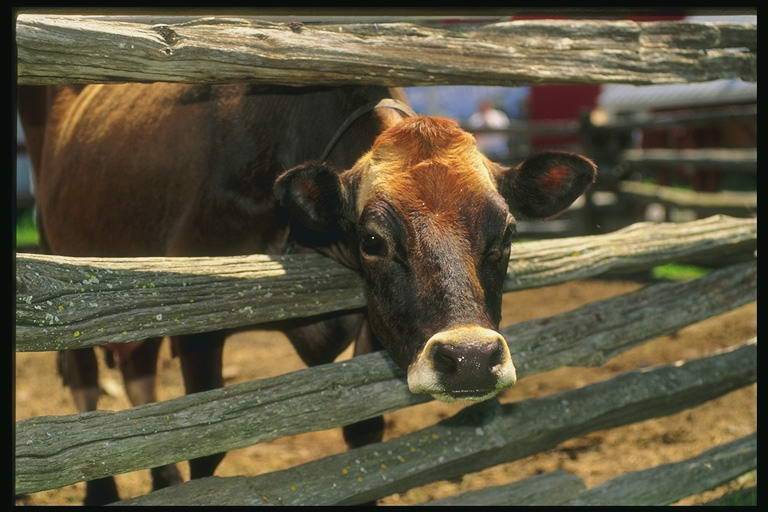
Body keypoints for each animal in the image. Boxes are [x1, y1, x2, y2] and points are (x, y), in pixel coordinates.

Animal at [16, 84, 592, 504]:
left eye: (508, 234)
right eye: (373, 240)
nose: (470, 358)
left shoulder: (371, 325)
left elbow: (364, 439)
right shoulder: (197, 325)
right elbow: (205, 451)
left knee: (137, 372)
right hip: (65, 260)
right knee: (87, 383)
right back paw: (102, 492)